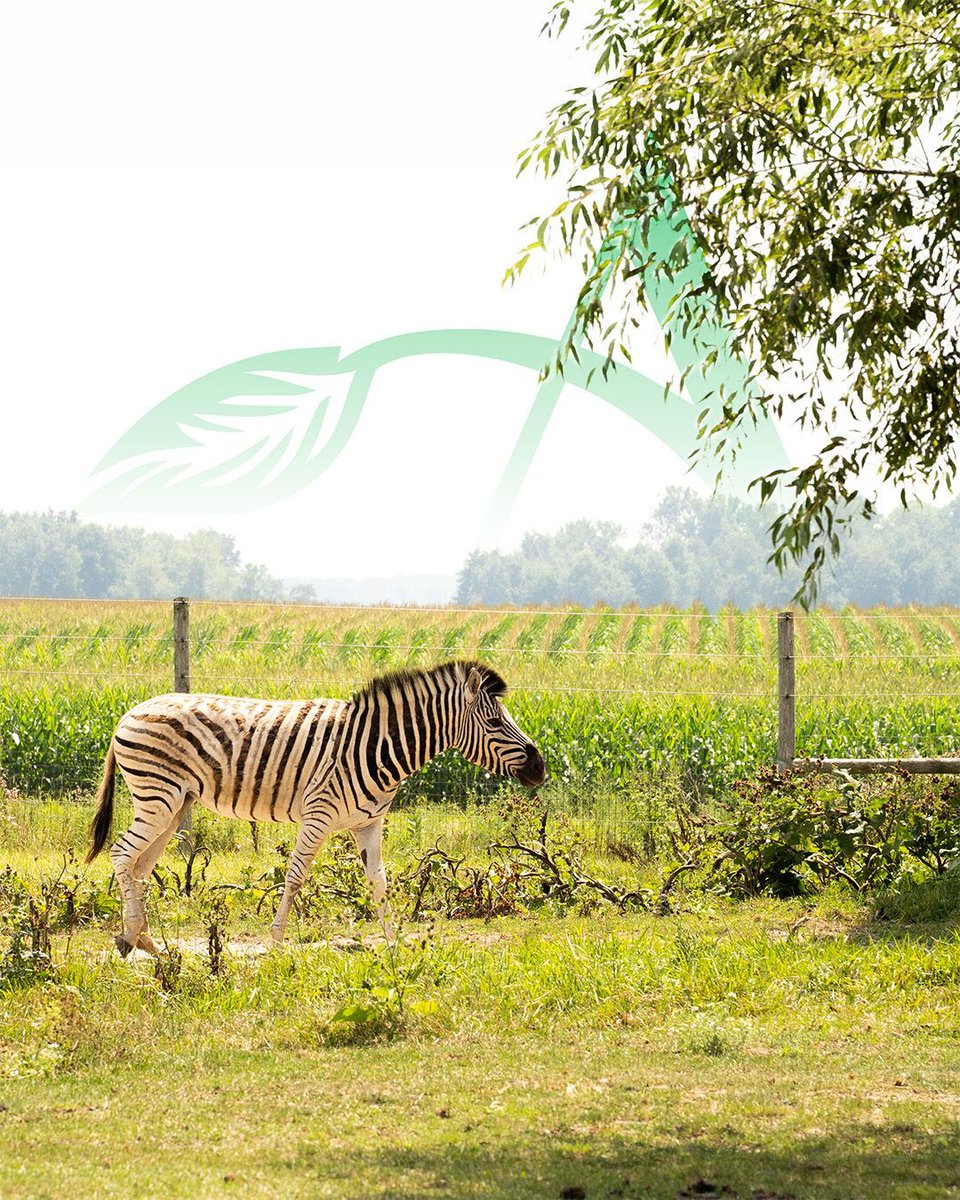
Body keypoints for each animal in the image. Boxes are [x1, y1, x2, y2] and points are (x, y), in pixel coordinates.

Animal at [85, 659, 545, 956]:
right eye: (494, 723)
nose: (540, 767)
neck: (376, 746)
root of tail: (129, 713)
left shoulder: (368, 823)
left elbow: (379, 883)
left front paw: (395, 945)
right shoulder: (318, 814)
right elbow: (294, 878)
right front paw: (274, 942)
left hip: (175, 804)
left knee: (139, 866)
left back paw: (142, 939)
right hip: (157, 796)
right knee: (122, 854)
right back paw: (131, 935)